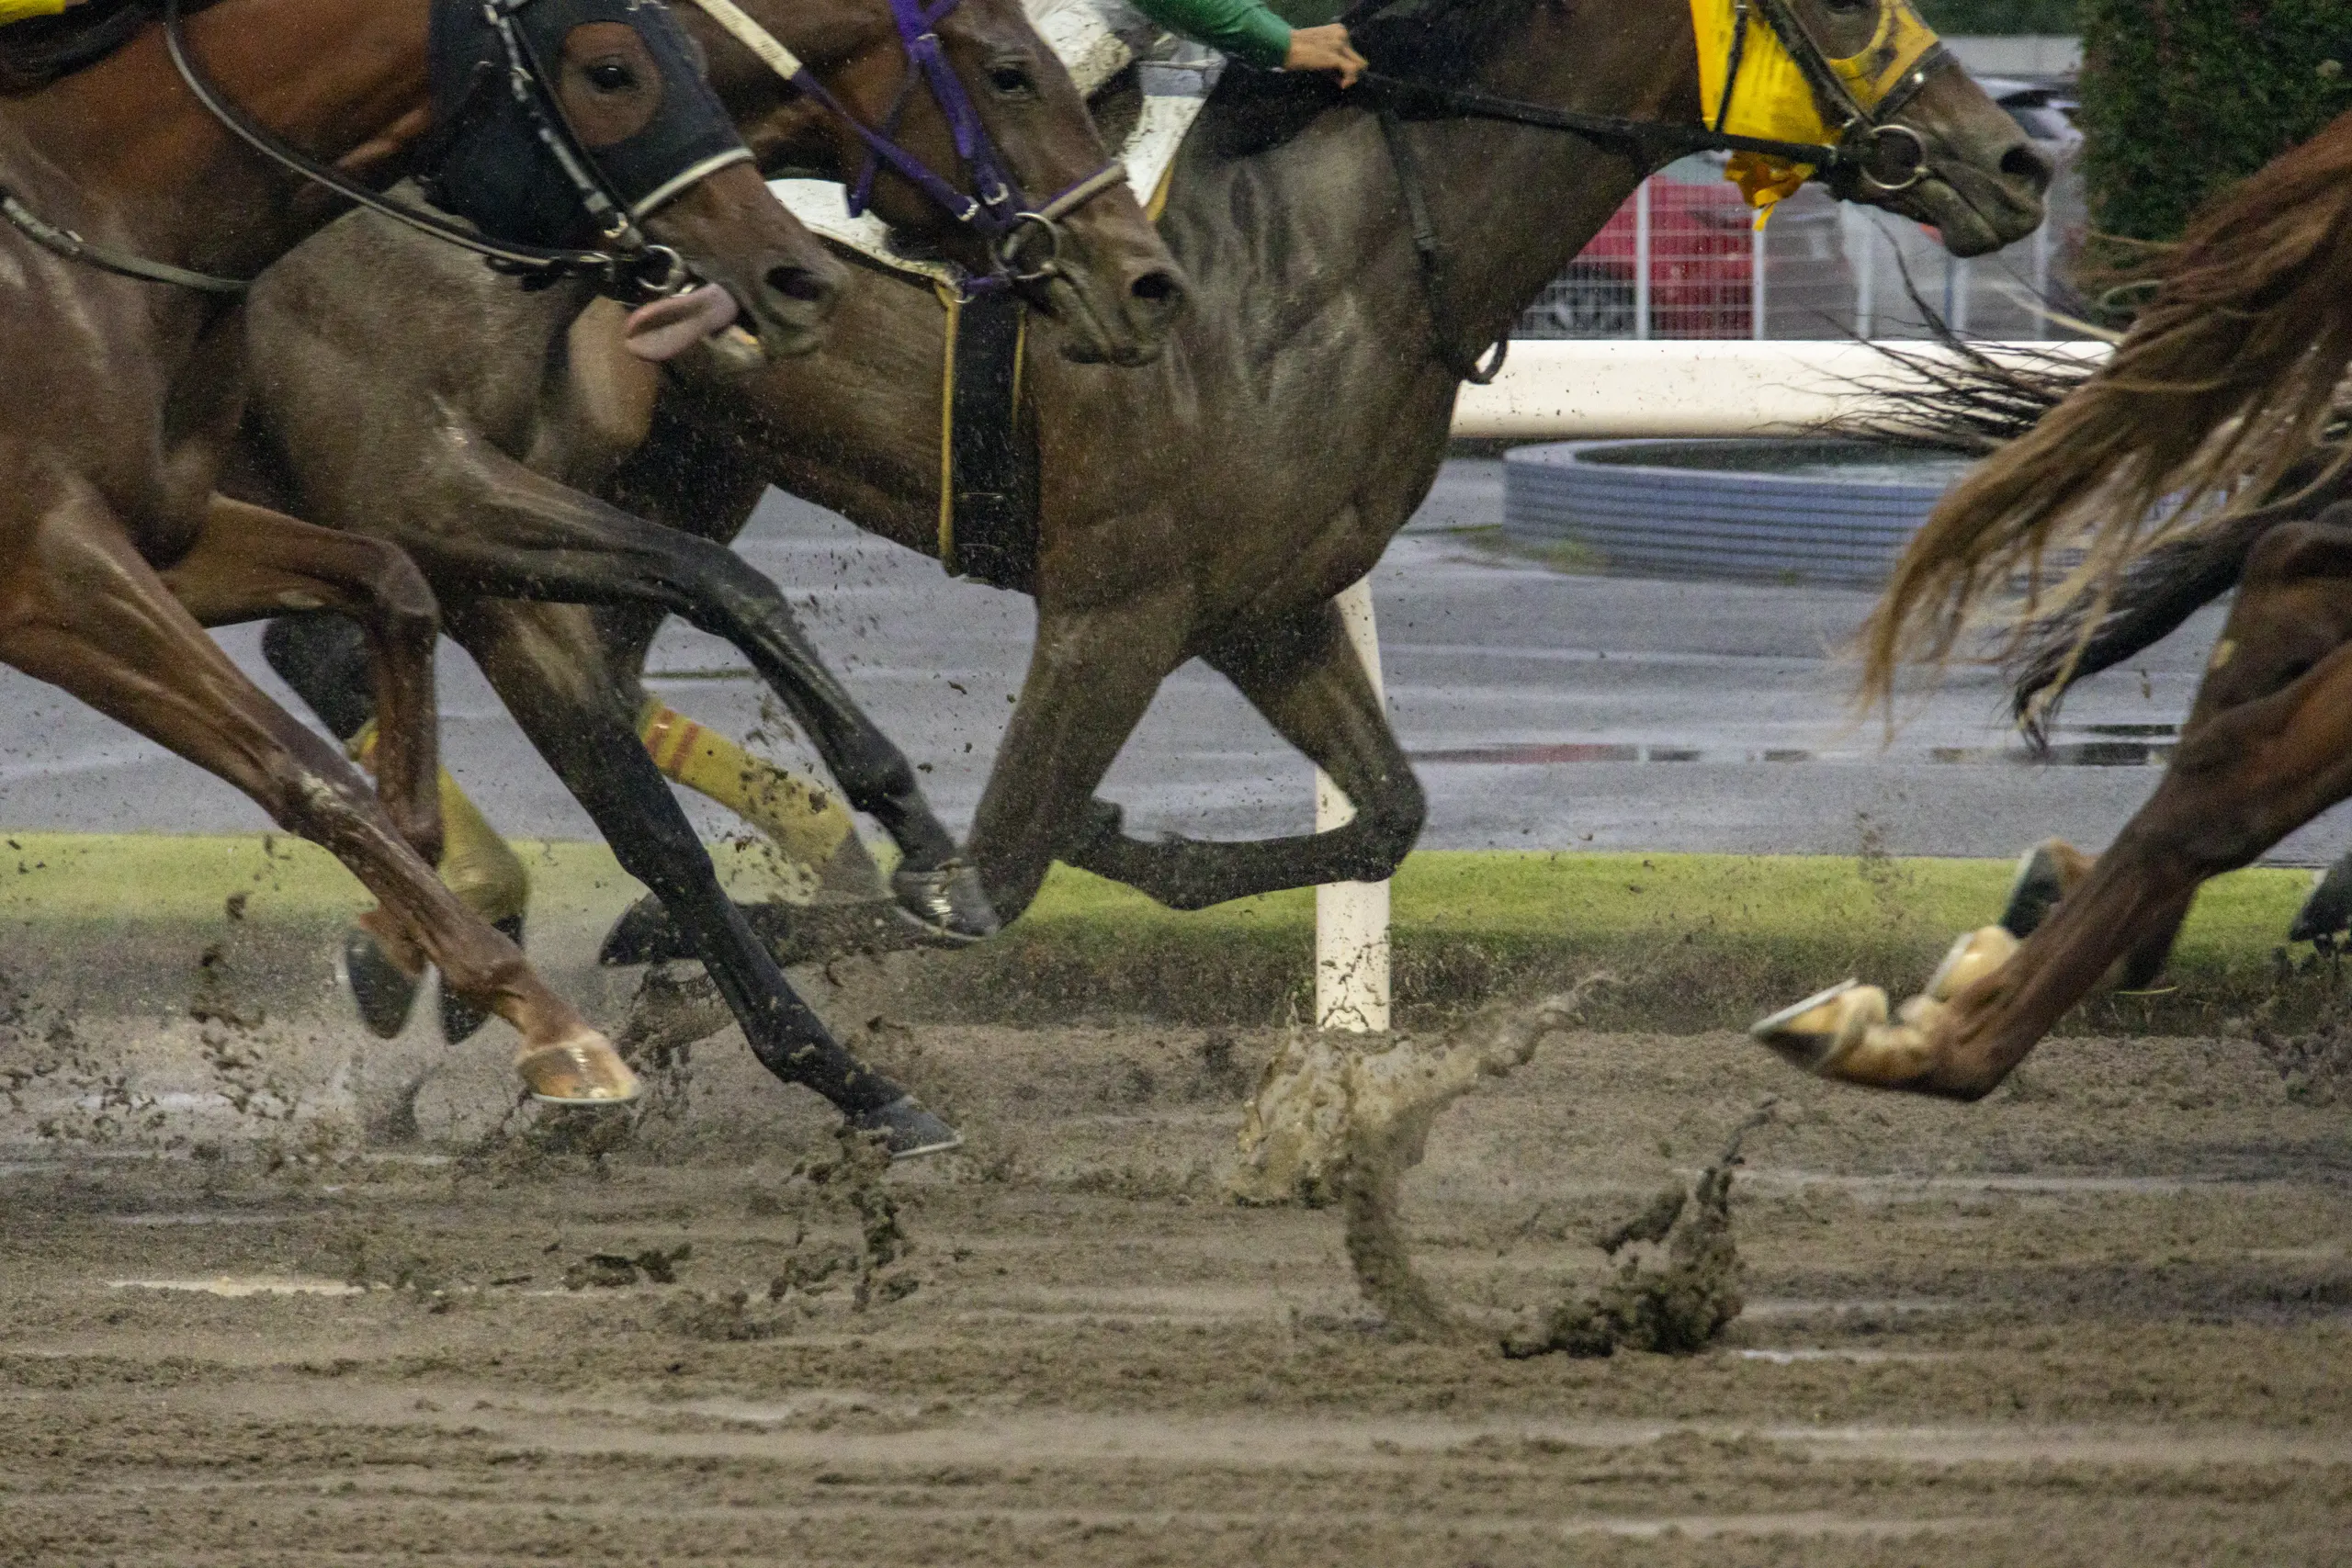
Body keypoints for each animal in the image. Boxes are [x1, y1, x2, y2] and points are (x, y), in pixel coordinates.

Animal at [0, 0, 849, 1111]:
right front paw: (554, 1027)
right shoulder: (49, 570)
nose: (802, 275)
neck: (89, 229)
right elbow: (303, 767)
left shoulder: (166, 531)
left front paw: (409, 922)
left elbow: (394, 589)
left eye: (699, 54)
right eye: (611, 69)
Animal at [225, 0, 1183, 1152]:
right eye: (1009, 73)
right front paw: (917, 867)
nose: (1147, 282)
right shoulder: (426, 492)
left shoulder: (488, 552)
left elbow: (654, 821)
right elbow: (725, 601)